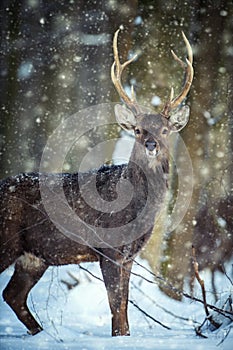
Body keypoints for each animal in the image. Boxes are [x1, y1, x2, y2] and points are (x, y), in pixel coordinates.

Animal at [0, 30, 193, 336]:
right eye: (138, 130)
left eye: (165, 130)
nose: (151, 145)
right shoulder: (108, 249)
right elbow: (116, 308)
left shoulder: (129, 255)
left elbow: (124, 309)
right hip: (6, 239)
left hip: (33, 257)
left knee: (13, 295)